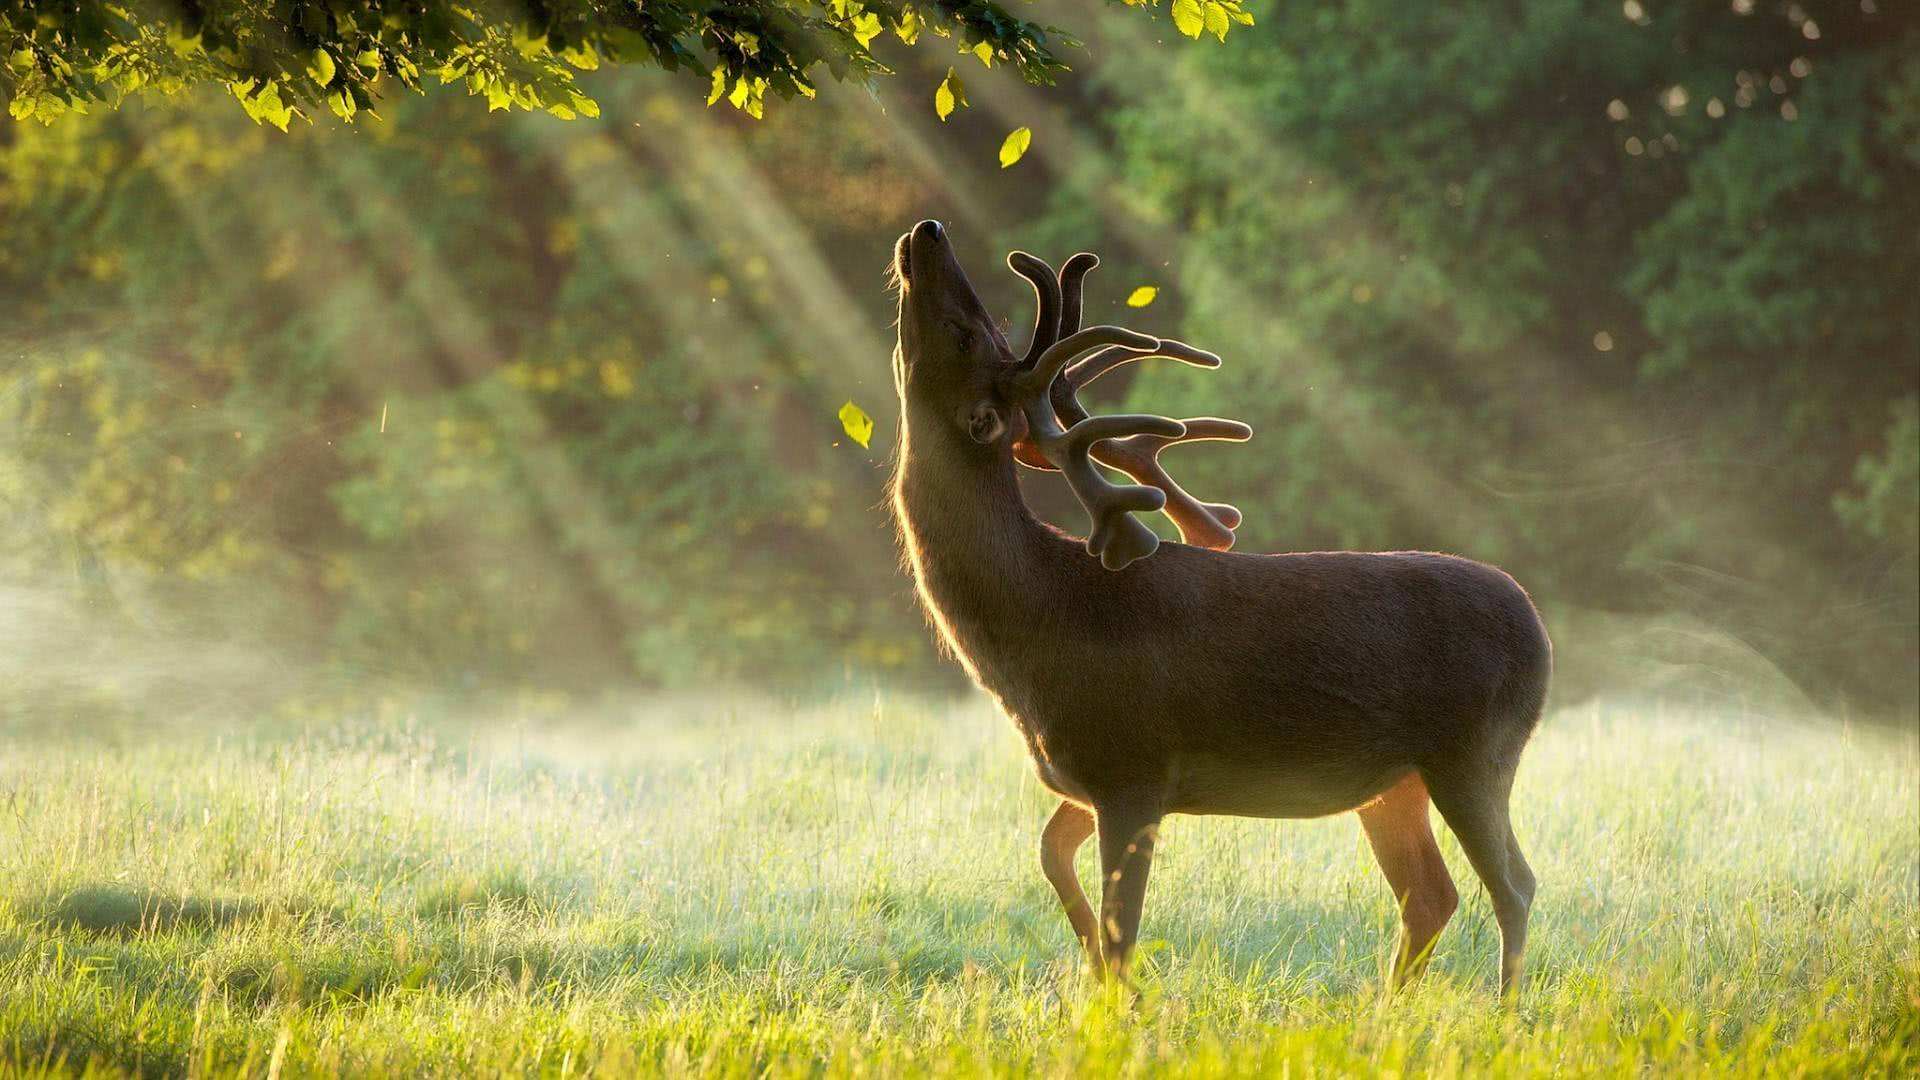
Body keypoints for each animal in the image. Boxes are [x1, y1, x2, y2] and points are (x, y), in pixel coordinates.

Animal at [890, 220, 1551, 991]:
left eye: (966, 333)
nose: (928, 231)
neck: (1038, 626)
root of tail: (1538, 629)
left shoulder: (1133, 764)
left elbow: (1122, 929)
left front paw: (1118, 997)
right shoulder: (1091, 775)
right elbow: (1051, 855)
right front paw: (1092, 970)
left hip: (1476, 750)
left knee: (1513, 885)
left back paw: (1504, 1009)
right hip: (1394, 782)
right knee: (1430, 893)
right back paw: (1390, 1007)